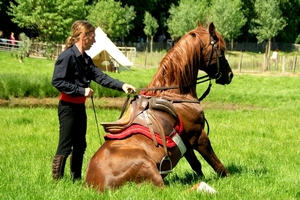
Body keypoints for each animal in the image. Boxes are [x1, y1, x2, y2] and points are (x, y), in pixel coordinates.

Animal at [85, 21, 233, 191]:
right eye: (221, 49)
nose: (230, 75)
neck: (176, 95)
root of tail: (95, 184)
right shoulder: (199, 137)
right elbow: (219, 166)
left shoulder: (187, 144)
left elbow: (197, 165)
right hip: (148, 165)